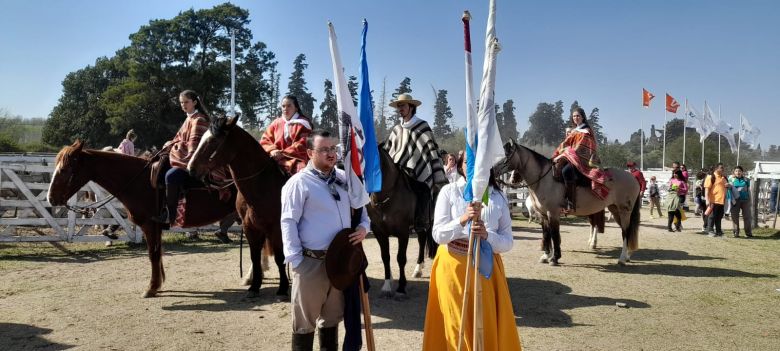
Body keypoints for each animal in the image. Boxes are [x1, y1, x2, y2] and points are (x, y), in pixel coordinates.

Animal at [47, 140, 236, 296]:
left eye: (64, 169)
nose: (50, 198)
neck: (141, 182)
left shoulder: (149, 225)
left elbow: (153, 253)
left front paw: (151, 287)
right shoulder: (156, 227)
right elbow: (158, 253)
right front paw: (159, 283)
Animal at [187, 117, 290, 298]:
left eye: (213, 141)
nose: (191, 169)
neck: (262, 186)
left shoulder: (276, 227)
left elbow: (279, 256)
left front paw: (283, 287)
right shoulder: (250, 227)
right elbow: (254, 256)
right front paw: (254, 286)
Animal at [368, 145, 436, 296]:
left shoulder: (403, 232)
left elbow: (401, 258)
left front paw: (401, 288)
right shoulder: (378, 232)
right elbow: (385, 257)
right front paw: (387, 285)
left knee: (423, 240)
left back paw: (418, 268)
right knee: (422, 239)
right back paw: (418, 268)